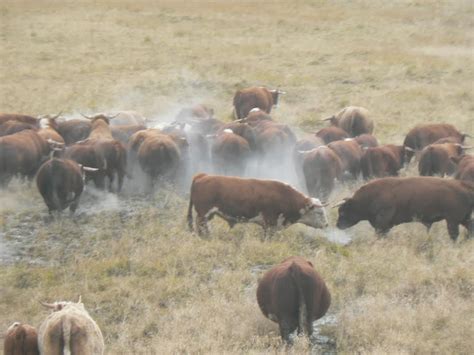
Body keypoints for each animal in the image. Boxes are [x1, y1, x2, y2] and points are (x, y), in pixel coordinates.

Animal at [187, 174, 328, 238]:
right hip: (203, 213)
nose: (326, 225)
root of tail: (203, 175)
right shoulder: (270, 223)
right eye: (319, 212)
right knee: (200, 225)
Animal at [336, 177, 472, 241]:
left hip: (453, 220)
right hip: (464, 219)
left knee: (454, 234)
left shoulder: (382, 222)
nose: (338, 225)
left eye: (342, 211)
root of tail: (464, 185)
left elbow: (380, 234)